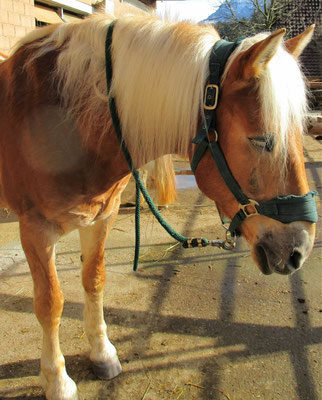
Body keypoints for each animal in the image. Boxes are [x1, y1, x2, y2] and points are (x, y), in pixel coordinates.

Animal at [0, 4, 316, 398]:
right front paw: (57, 379)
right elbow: (50, 303)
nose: (299, 250)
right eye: (261, 139)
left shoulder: (101, 217)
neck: (65, 118)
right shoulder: (36, 231)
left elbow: (94, 279)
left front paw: (102, 353)